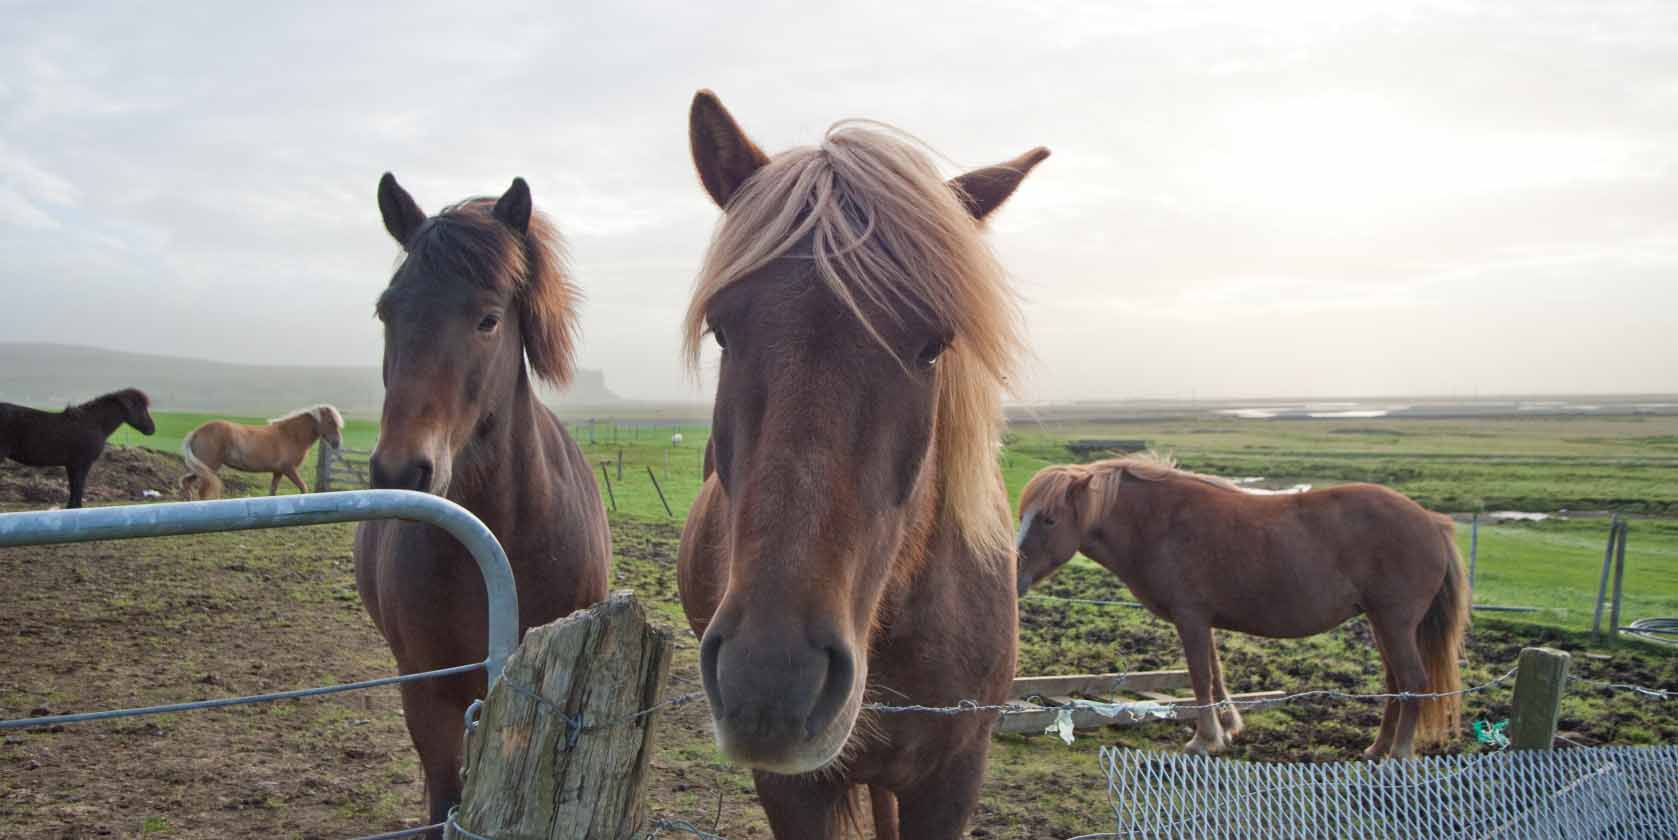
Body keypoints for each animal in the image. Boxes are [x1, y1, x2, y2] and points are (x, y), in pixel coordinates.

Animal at [0, 387, 157, 509]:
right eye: (139, 407)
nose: (151, 429)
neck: (94, 423)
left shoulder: (72, 465)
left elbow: (74, 488)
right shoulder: (82, 463)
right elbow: (78, 488)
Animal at [178, 404, 345, 496]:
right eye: (330, 421)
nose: (337, 443)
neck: (290, 435)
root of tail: (196, 432)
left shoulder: (278, 472)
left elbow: (272, 493)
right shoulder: (289, 469)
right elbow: (303, 488)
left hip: (201, 468)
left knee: (186, 483)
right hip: (210, 467)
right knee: (201, 491)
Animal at [1006, 456, 1469, 757]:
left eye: (1048, 519)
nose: (1013, 577)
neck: (1160, 522)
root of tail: (1432, 521)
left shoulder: (1191, 618)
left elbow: (1200, 678)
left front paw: (1203, 740)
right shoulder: (1202, 620)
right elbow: (1214, 677)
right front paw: (1226, 730)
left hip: (1394, 622)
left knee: (1413, 680)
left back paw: (1399, 755)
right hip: (1382, 623)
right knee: (1397, 684)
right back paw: (1377, 749)